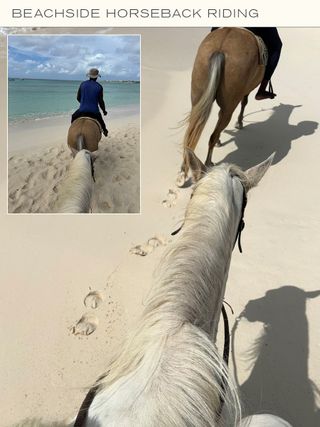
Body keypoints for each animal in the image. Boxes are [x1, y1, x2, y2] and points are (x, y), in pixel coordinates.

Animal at [180, 26, 264, 183]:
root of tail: (220, 48)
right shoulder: (246, 91)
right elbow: (244, 102)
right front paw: (239, 123)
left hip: (198, 95)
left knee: (191, 133)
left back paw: (183, 171)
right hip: (230, 105)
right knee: (214, 132)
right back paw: (209, 164)